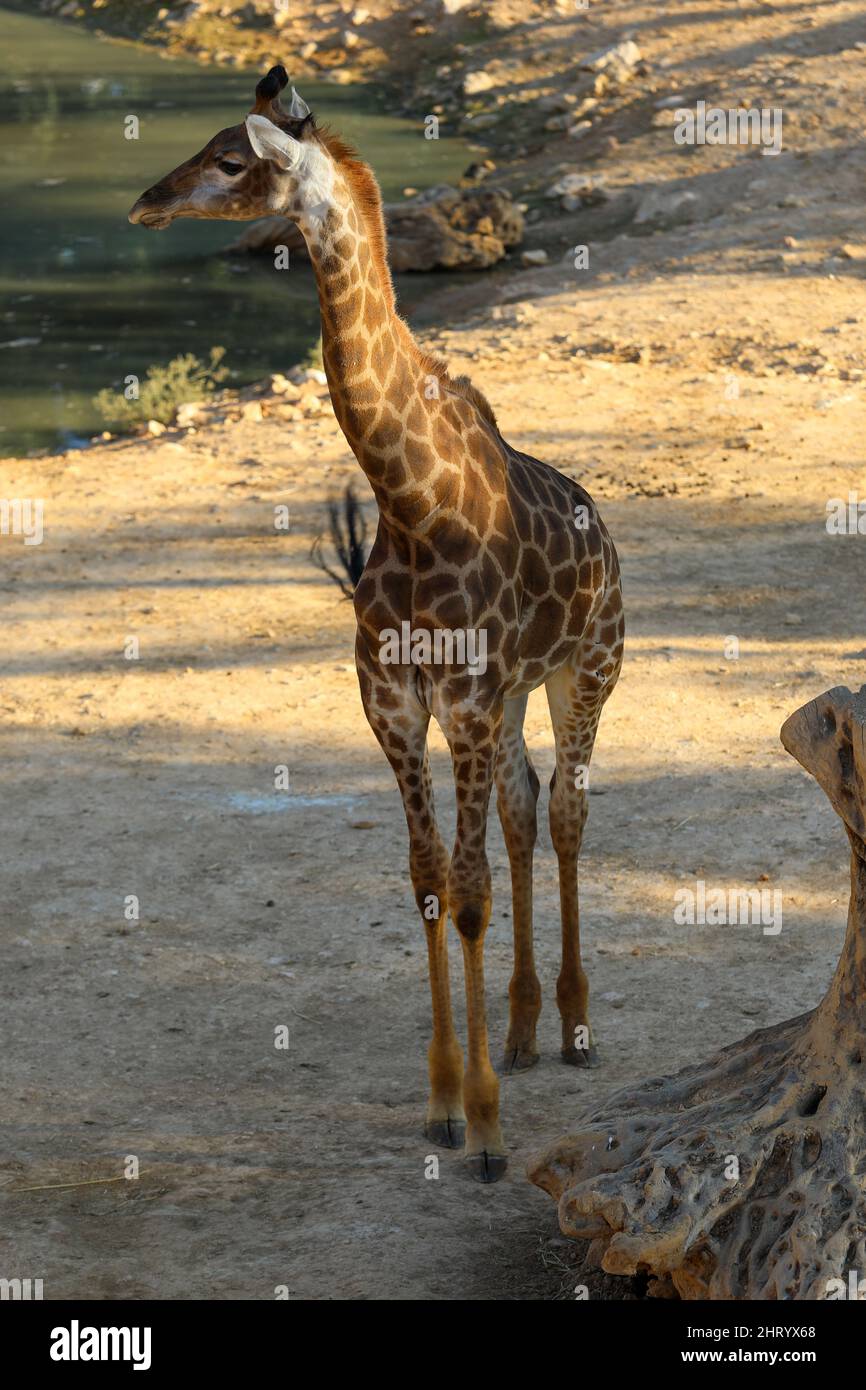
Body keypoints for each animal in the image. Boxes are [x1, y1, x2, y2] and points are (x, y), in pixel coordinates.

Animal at [130, 59, 622, 1178]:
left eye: (231, 160)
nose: (145, 202)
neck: (408, 502)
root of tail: (606, 530)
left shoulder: (466, 698)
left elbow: (470, 888)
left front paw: (487, 1134)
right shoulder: (395, 702)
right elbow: (431, 881)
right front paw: (444, 1103)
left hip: (587, 668)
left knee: (567, 813)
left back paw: (576, 1032)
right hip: (517, 696)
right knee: (527, 810)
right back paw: (521, 1032)